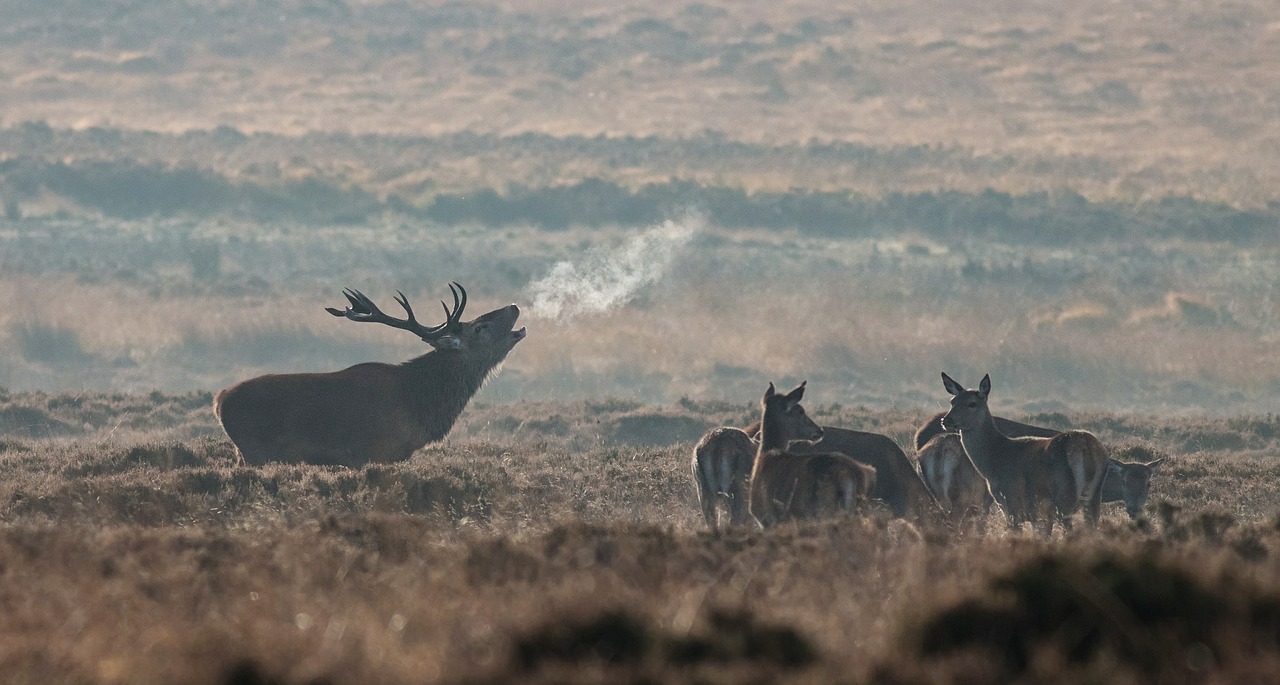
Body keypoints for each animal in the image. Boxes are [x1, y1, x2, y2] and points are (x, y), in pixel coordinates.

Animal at [215, 281, 524, 468]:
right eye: (480, 327)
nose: (514, 306)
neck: (417, 406)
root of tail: (219, 400)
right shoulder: (372, 452)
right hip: (255, 451)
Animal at [747, 384, 875, 532]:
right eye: (800, 411)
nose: (820, 430)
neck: (764, 455)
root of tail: (847, 475)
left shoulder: (766, 519)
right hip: (860, 510)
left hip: (823, 512)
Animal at [936, 373, 1105, 532]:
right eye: (952, 401)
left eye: (972, 403)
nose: (946, 420)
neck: (993, 464)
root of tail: (1084, 447)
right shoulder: (1038, 515)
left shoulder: (1012, 506)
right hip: (1093, 498)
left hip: (1064, 498)